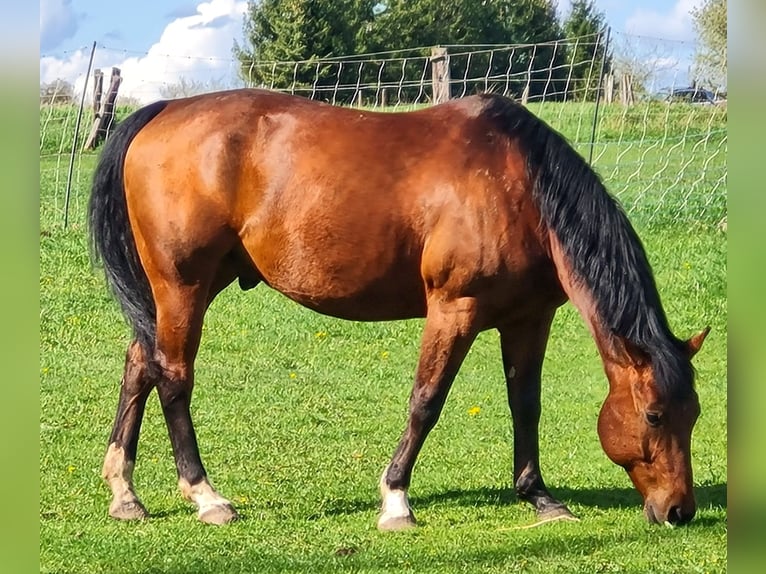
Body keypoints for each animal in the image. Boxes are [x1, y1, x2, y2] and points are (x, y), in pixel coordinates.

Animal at [88, 88, 709, 529]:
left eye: (695, 414)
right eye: (655, 415)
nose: (679, 511)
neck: (521, 186)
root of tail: (164, 110)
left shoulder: (529, 318)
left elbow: (525, 405)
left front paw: (539, 496)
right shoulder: (454, 310)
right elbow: (426, 402)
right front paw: (395, 500)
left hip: (185, 288)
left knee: (140, 362)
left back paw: (126, 494)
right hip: (183, 287)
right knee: (173, 377)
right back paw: (205, 495)